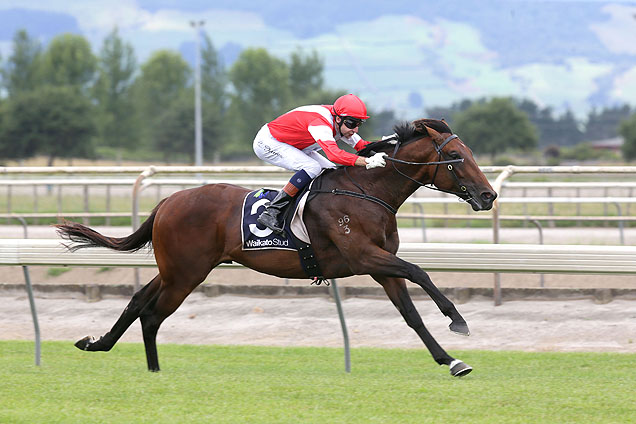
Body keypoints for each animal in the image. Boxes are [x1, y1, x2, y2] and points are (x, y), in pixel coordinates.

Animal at [57, 118, 496, 378]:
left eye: (471, 154)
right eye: (455, 157)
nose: (488, 195)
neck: (368, 191)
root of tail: (168, 201)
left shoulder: (379, 266)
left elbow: (411, 315)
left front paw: (451, 360)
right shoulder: (364, 256)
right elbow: (420, 272)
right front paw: (457, 319)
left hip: (174, 269)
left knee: (137, 301)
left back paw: (99, 344)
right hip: (185, 274)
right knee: (152, 314)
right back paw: (153, 370)